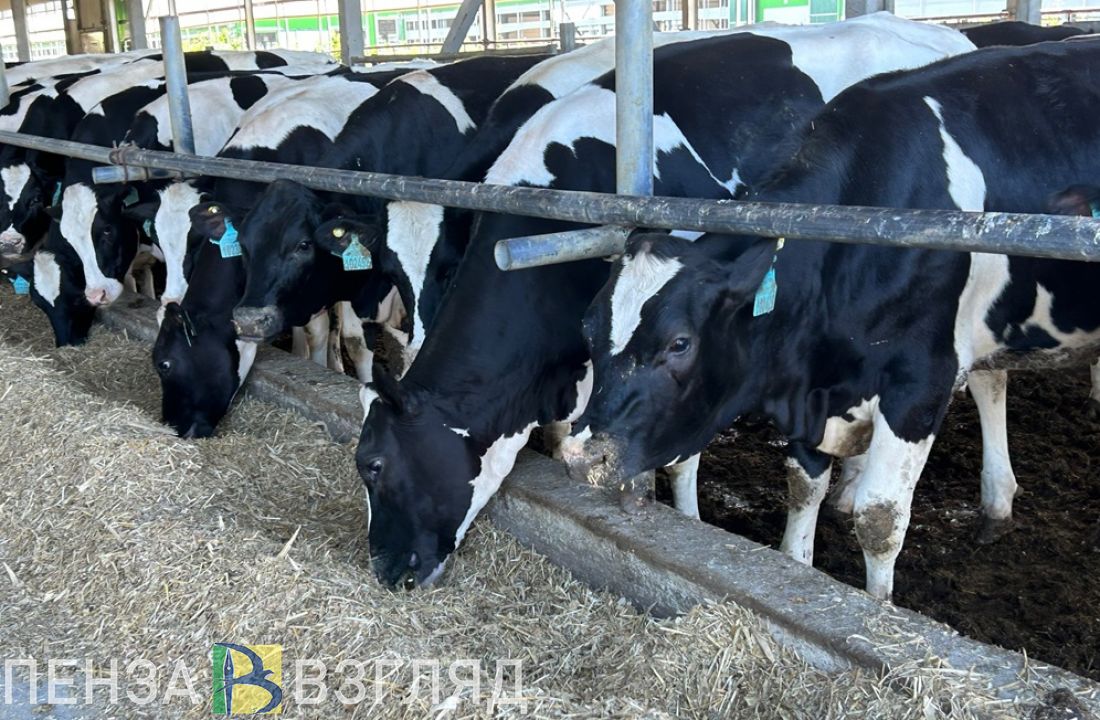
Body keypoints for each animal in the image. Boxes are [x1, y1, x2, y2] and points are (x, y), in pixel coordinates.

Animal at [566, 40, 1100, 602]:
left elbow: (880, 518)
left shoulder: (920, 382)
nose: (582, 456)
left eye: (679, 343)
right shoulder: (812, 375)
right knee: (991, 380)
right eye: (586, 327)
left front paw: (878, 605)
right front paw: (797, 562)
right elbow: (803, 486)